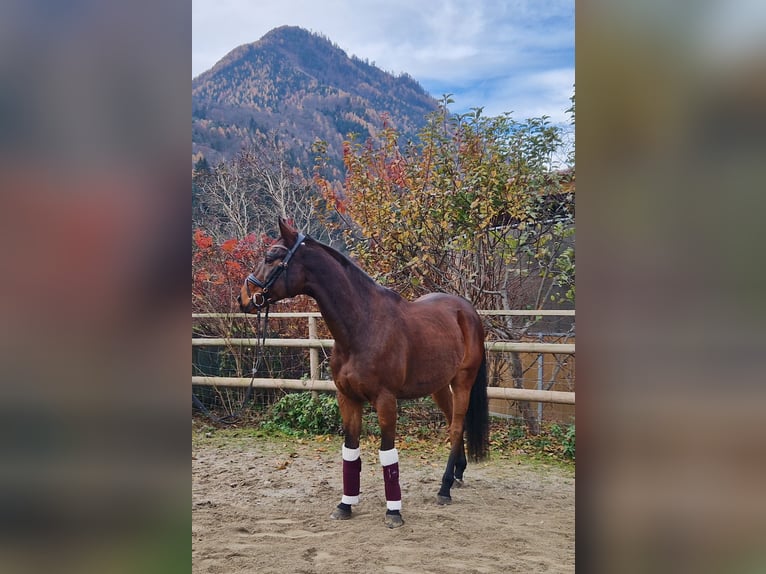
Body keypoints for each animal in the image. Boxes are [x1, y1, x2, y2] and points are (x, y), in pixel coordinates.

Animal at [238, 218, 489, 528]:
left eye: (271, 256)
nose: (243, 298)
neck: (362, 326)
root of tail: (467, 310)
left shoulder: (385, 401)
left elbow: (387, 455)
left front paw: (393, 512)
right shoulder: (347, 398)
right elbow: (350, 450)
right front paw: (345, 504)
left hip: (463, 380)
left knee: (455, 427)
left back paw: (444, 487)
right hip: (439, 386)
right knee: (456, 421)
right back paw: (457, 474)